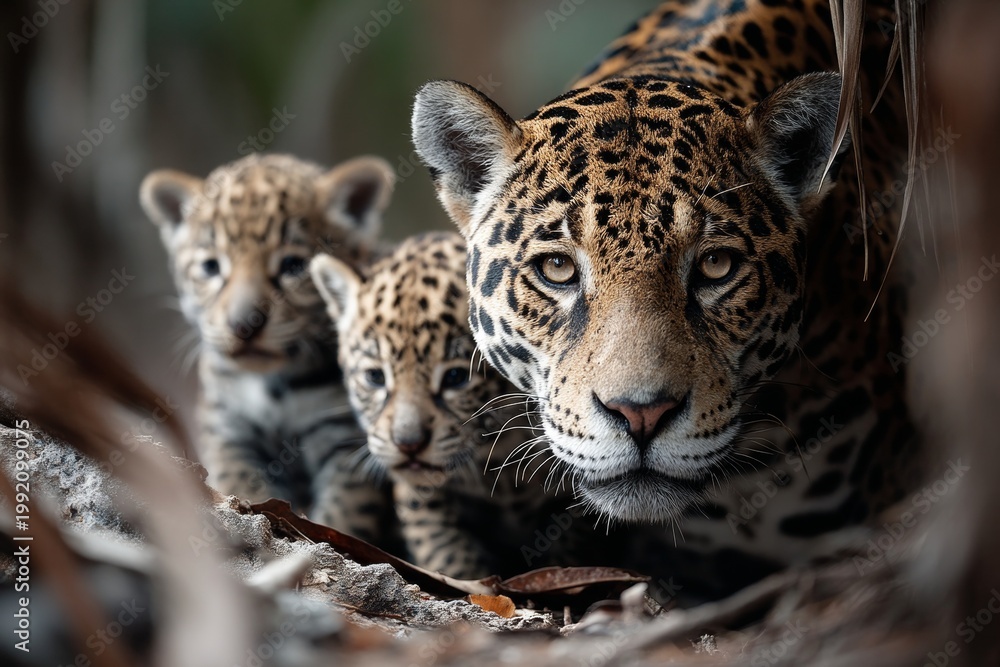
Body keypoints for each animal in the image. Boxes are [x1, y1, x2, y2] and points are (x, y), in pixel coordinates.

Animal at [140, 152, 398, 543]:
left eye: (294, 265)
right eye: (211, 267)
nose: (244, 323)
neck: (273, 384)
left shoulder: (345, 442)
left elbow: (344, 514)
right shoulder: (230, 432)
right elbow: (244, 490)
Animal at [310, 232, 616, 578]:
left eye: (456, 377)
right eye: (375, 377)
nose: (408, 444)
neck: (495, 460)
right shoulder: (422, 500)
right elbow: (445, 553)